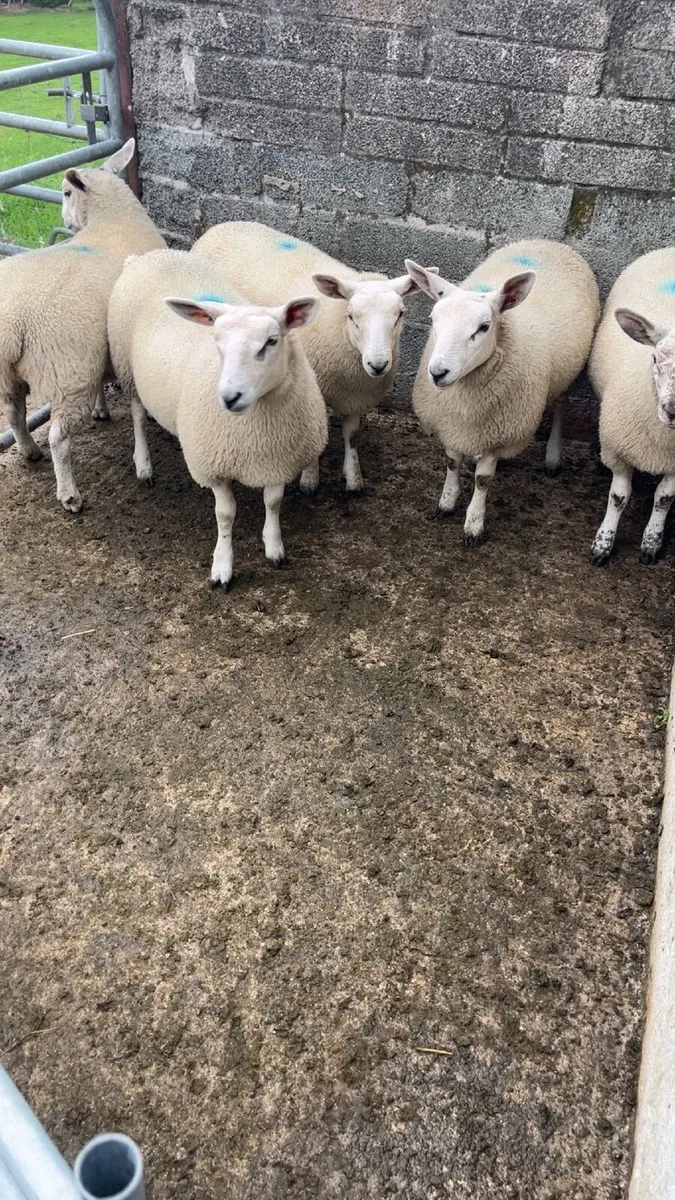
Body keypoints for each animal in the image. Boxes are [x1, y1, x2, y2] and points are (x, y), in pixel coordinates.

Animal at [0, 139, 165, 513]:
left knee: (15, 414)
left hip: (13, 375)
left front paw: (102, 410)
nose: (64, 220)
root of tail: (13, 321)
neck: (113, 218)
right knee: (58, 437)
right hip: (68, 371)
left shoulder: (102, 351)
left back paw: (30, 451)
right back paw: (69, 495)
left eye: (64, 193)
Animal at [107, 248, 328, 589]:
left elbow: (273, 502)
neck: (257, 428)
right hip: (128, 372)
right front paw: (222, 566)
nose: (229, 397)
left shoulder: (278, 458)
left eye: (271, 341)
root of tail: (147, 256)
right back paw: (143, 465)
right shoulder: (214, 467)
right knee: (138, 417)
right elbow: (225, 515)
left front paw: (274, 547)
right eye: (217, 343)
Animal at [191, 221, 424, 495]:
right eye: (351, 316)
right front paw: (310, 480)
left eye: (400, 314)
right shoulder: (313, 390)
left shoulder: (356, 396)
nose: (378, 365)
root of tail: (220, 226)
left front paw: (353, 478)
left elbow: (352, 435)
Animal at [406, 239, 600, 545]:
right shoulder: (450, 423)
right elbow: (452, 462)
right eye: (432, 320)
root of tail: (549, 242)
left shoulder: (502, 434)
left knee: (560, 405)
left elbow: (483, 480)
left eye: (484, 327)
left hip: (567, 371)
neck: (465, 397)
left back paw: (553, 456)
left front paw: (473, 524)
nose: (438, 372)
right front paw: (447, 502)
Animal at [589, 247, 675, 565]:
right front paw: (603, 543)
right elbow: (618, 497)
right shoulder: (618, 451)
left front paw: (652, 542)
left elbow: (664, 498)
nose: (672, 410)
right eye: (655, 358)